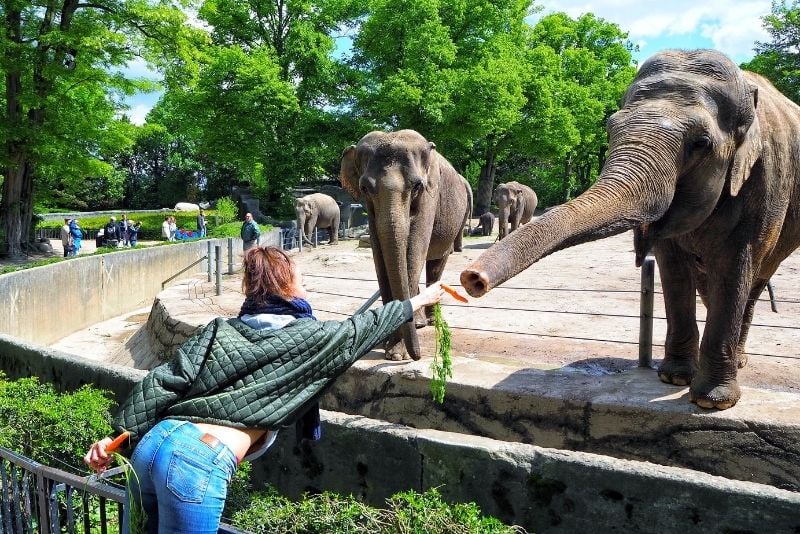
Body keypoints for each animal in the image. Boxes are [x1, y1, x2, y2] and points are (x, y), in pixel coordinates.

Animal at [340, 130, 472, 362]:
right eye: (364, 188)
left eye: (418, 186)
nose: (417, 355)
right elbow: (380, 258)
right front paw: (390, 347)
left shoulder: (430, 196)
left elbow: (413, 252)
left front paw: (396, 354)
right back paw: (419, 323)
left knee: (436, 264)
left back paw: (431, 321)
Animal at [460, 50, 800, 410]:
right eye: (610, 128)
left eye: (701, 143)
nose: (472, 279)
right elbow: (673, 270)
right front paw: (674, 378)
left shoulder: (765, 181)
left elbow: (734, 267)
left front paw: (711, 402)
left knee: (753, 281)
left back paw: (739, 361)